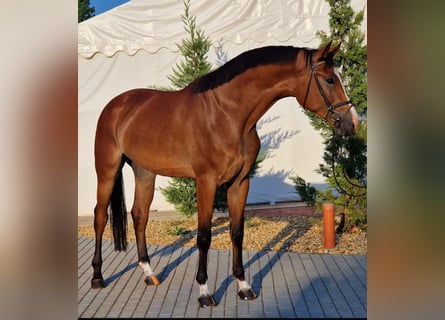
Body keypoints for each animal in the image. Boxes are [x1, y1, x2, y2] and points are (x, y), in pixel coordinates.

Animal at [90, 41, 358, 306]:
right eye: (330, 80)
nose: (352, 123)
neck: (227, 115)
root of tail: (116, 105)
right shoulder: (206, 182)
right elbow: (204, 236)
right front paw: (205, 292)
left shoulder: (240, 182)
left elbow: (237, 232)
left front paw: (244, 286)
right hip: (106, 171)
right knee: (100, 217)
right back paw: (97, 277)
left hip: (145, 172)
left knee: (139, 216)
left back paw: (149, 273)